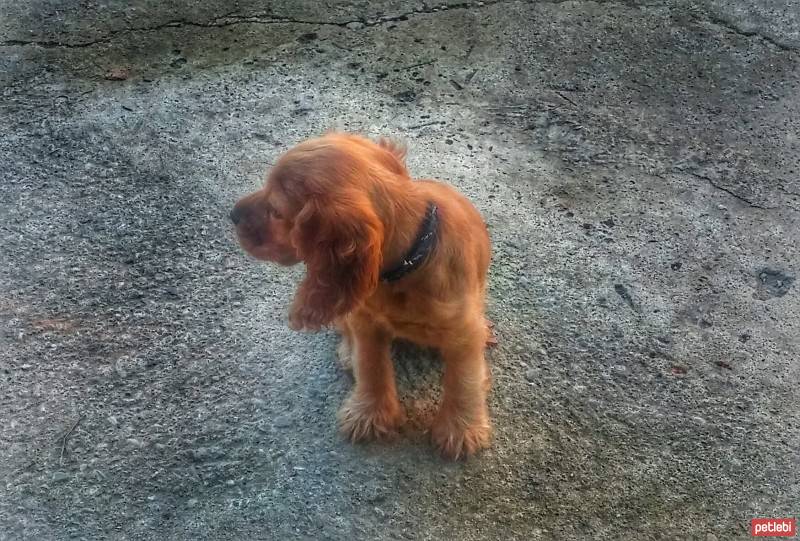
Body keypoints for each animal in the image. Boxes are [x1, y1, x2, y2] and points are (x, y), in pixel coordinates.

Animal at [231, 133, 490, 458]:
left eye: (277, 211)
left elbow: (464, 379)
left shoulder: (463, 330)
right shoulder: (366, 320)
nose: (232, 215)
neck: (406, 267)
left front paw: (461, 429)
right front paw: (368, 413)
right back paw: (347, 352)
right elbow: (371, 365)